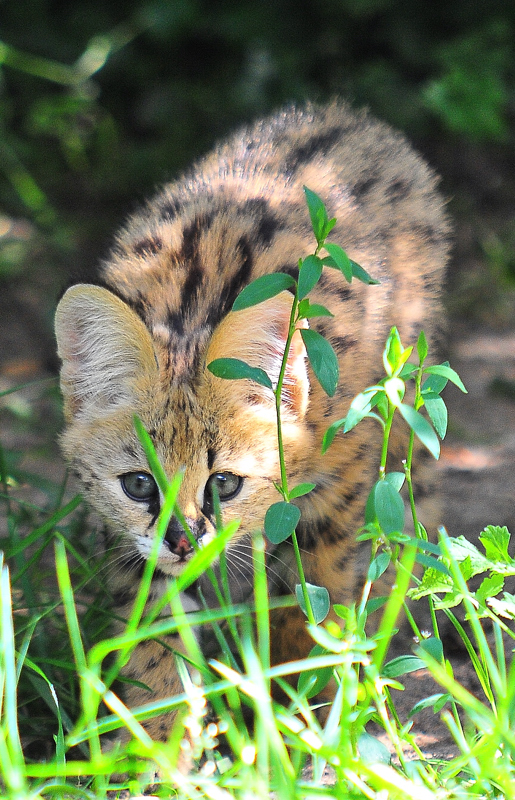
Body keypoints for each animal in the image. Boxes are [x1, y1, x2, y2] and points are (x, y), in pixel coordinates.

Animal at [54, 100, 450, 744]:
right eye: (138, 484)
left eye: (224, 483)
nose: (183, 542)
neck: (193, 311)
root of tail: (347, 114)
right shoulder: (141, 547)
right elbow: (156, 633)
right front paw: (154, 743)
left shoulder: (339, 489)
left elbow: (316, 599)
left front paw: (303, 714)